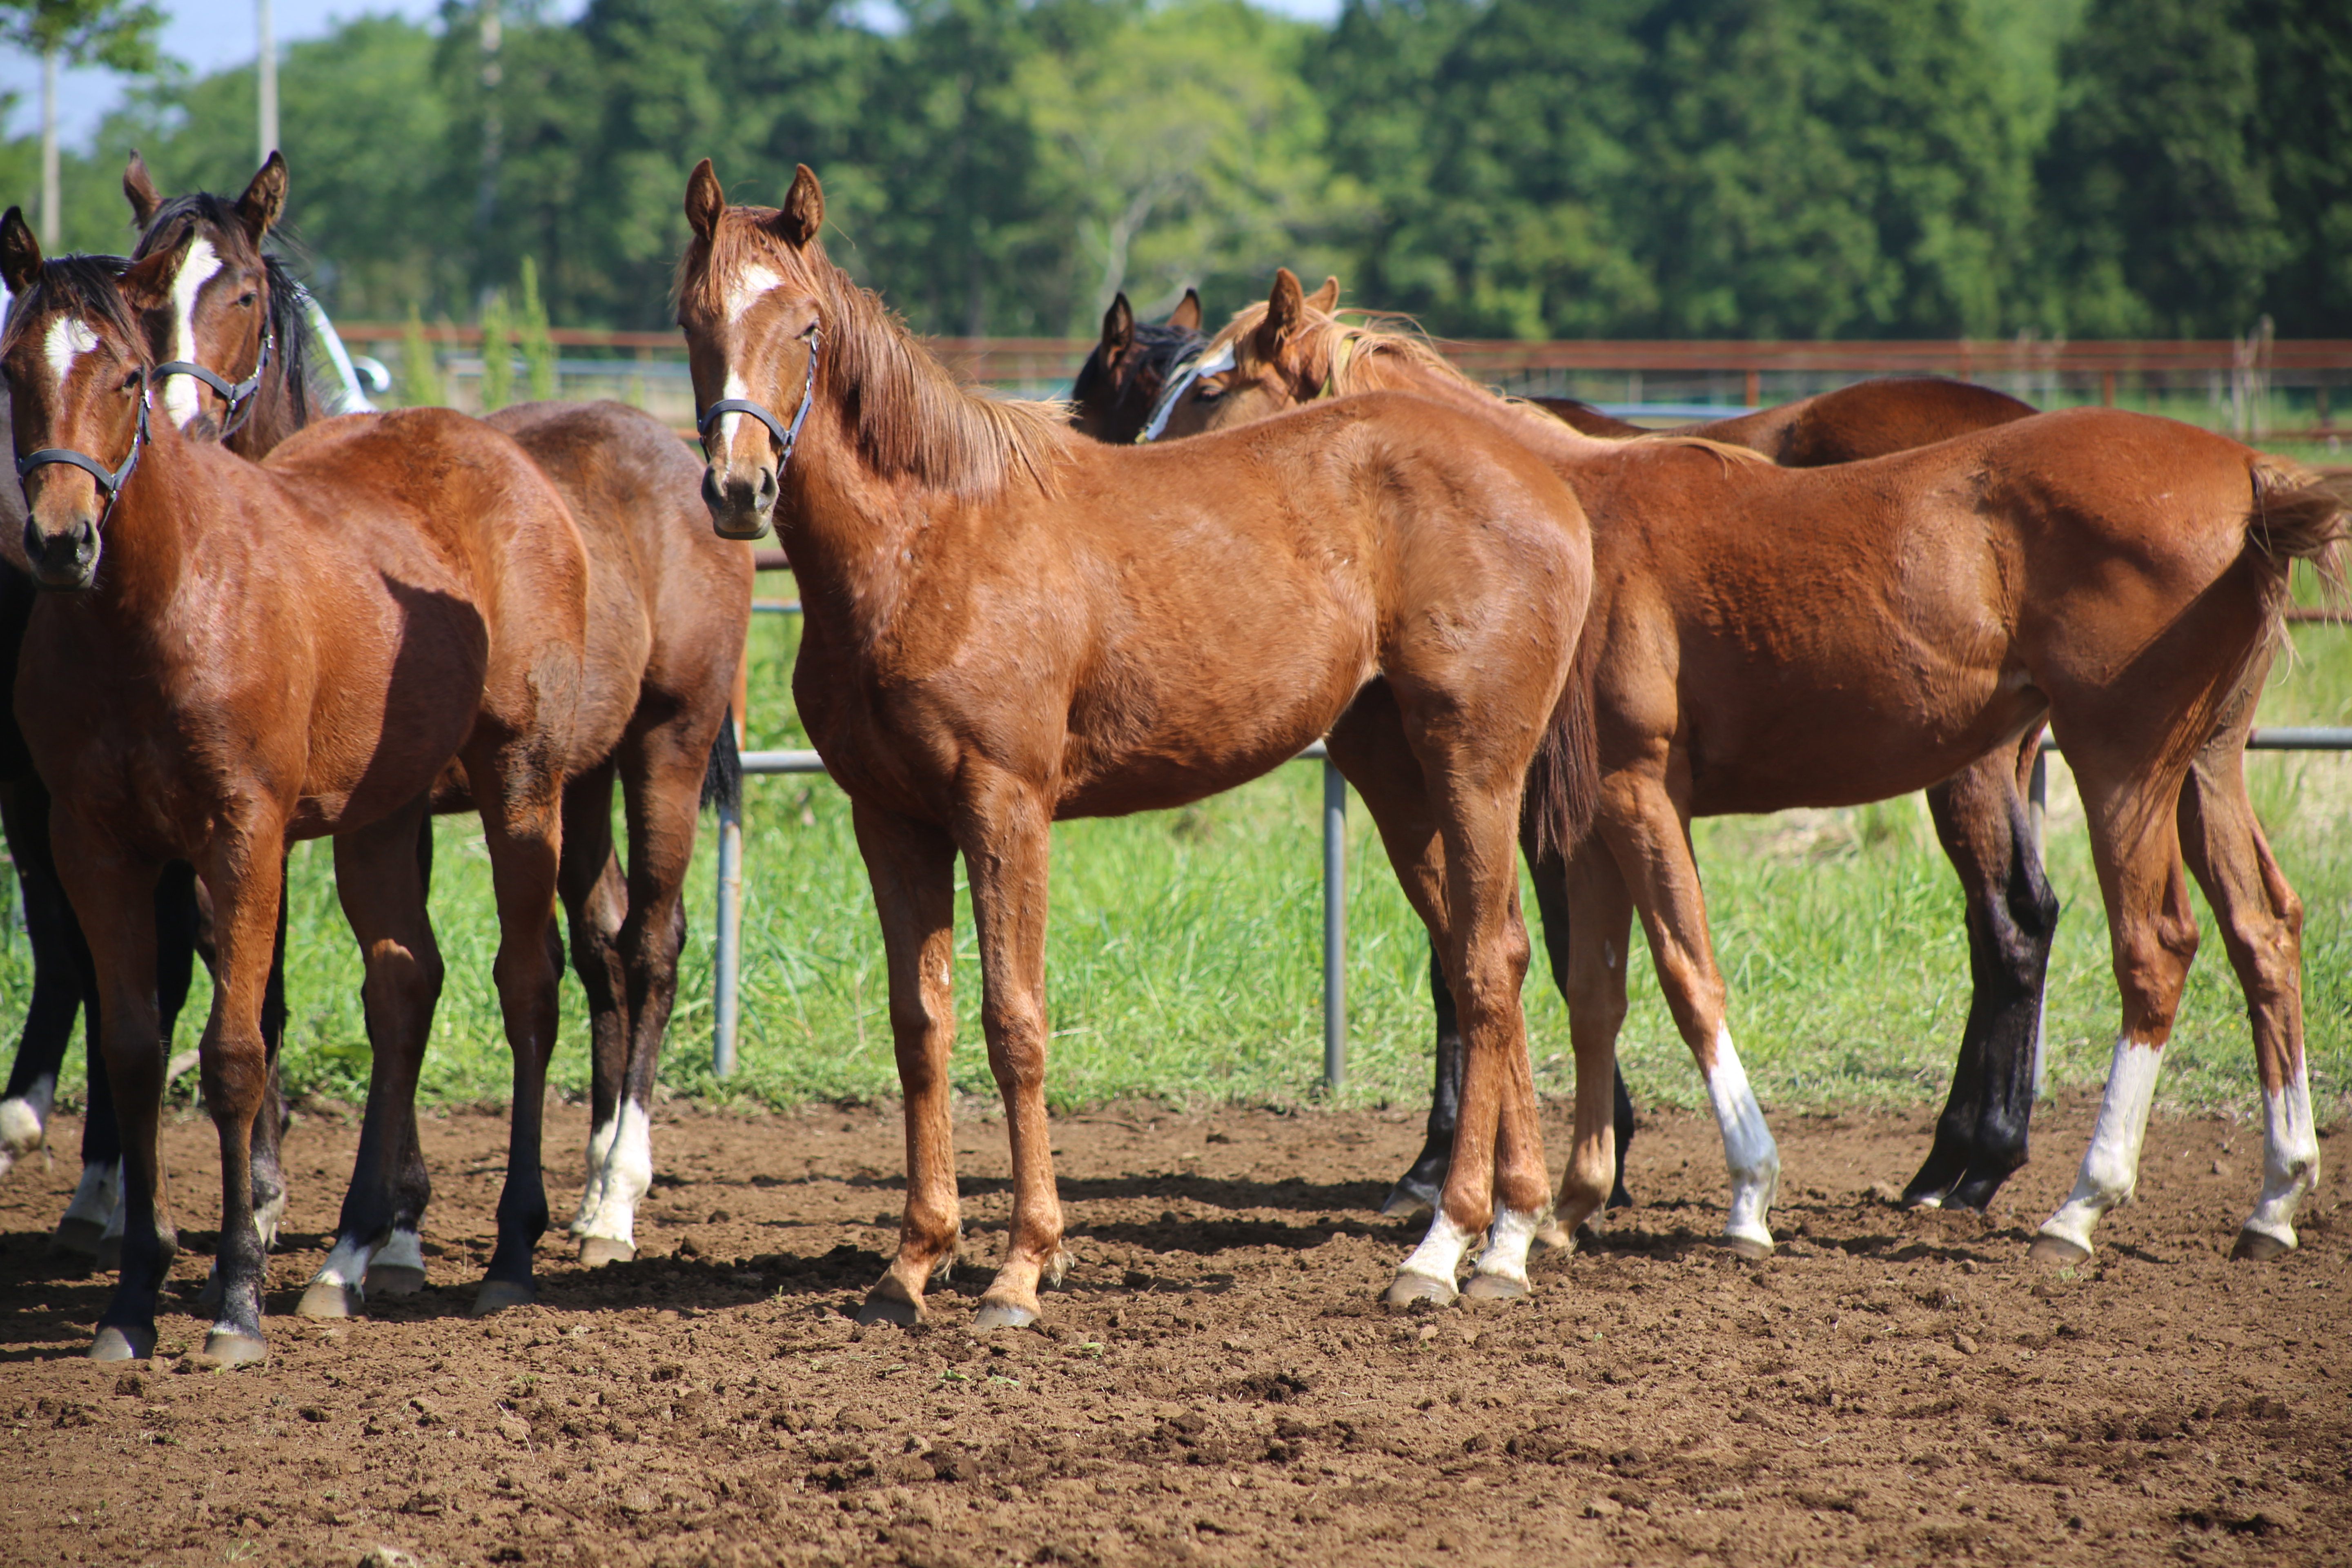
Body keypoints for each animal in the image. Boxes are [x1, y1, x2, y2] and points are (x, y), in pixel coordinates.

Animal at [0, 212, 588, 1363]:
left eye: (125, 375)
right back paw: (351, 1255)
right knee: (403, 986)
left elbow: (235, 1054)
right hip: (382, 818)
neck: (160, 603)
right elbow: (134, 1049)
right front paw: (131, 1303)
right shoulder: (96, 843)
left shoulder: (243, 834)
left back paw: (508, 1251)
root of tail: (510, 464)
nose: (59, 540)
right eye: (11, 368)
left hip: (522, 786)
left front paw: (235, 1301)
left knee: (529, 986)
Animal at [106, 153, 748, 1307]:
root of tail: (683, 457)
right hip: (581, 779)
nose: (175, 429)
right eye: (142, 295)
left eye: (242, 294)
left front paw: (381, 1228)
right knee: (602, 943)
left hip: (662, 748)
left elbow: (415, 984)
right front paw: (325, 1215)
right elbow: (310, 988)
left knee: (653, 942)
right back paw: (587, 1181)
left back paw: (615, 1196)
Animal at [682, 162, 1599, 1326]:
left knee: (1483, 964)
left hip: (1475, 764)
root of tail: (1547, 485)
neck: (929, 540)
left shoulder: (1004, 806)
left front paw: (1021, 1268)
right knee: (1492, 952)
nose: (737, 488)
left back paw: (1440, 1250)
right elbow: (920, 1028)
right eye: (695, 319)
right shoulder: (888, 818)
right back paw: (1506, 1240)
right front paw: (913, 1262)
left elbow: (1014, 1023)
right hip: (1398, 775)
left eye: (805, 325)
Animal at [1166, 272, 2342, 1278]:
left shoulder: (1638, 793)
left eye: (1212, 385)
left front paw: (1745, 1196)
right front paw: (1568, 1206)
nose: (1144, 482)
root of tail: (2249, 478)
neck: (1565, 519)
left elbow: (1689, 978)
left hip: (2119, 764)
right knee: (2263, 930)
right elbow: (1596, 993)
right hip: (2205, 768)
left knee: (2154, 946)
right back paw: (2274, 1198)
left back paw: (2075, 1204)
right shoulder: (1592, 821)